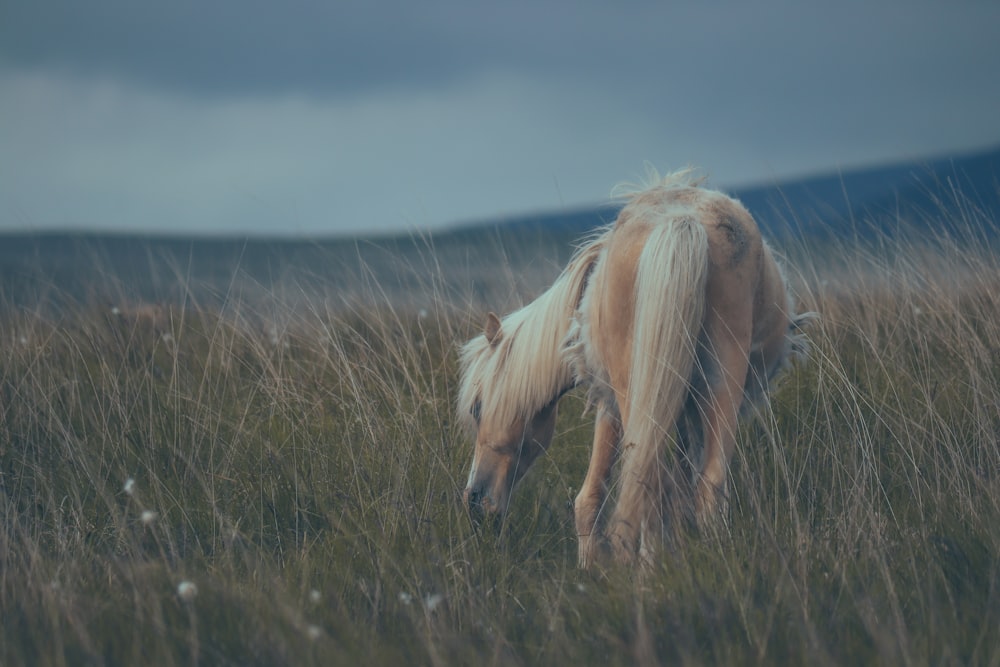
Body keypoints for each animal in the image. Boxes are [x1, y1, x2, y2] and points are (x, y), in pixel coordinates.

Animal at [458, 168, 816, 568]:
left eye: (477, 408)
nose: (475, 499)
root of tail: (682, 222)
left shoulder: (608, 403)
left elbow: (590, 499)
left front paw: (589, 567)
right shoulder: (684, 409)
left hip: (636, 395)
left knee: (647, 481)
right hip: (720, 382)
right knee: (706, 483)